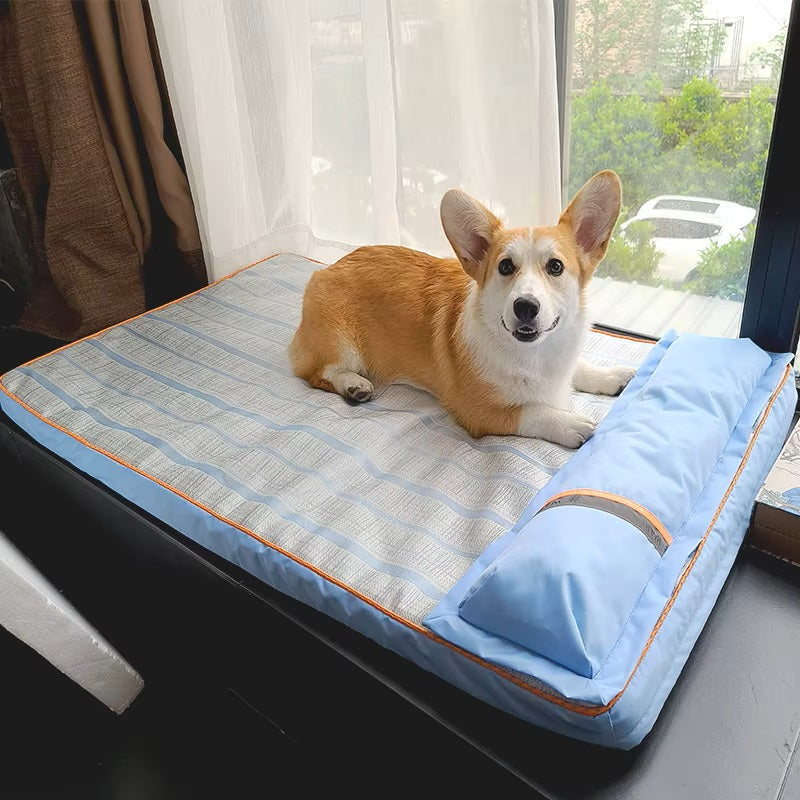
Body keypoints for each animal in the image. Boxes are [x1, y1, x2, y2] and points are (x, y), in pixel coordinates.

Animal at [290, 170, 636, 446]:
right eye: (505, 267)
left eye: (555, 266)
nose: (525, 307)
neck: (533, 355)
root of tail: (326, 269)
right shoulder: (478, 410)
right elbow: (531, 411)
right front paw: (568, 423)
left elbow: (581, 366)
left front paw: (611, 376)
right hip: (342, 344)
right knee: (316, 373)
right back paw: (354, 385)